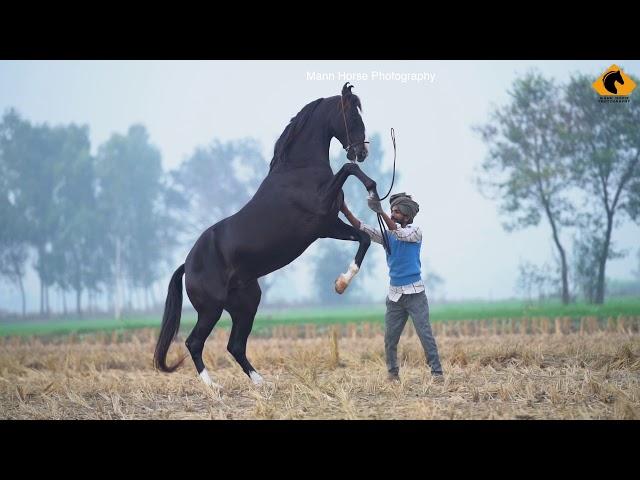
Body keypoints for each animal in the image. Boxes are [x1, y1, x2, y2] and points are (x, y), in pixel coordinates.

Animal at [156, 84, 382, 388]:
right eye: (353, 116)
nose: (361, 152)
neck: (299, 168)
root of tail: (187, 265)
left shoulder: (328, 227)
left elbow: (364, 238)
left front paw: (341, 284)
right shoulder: (323, 215)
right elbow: (349, 170)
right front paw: (372, 192)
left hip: (246, 303)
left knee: (235, 345)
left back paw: (262, 383)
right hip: (211, 309)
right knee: (194, 342)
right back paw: (214, 387)